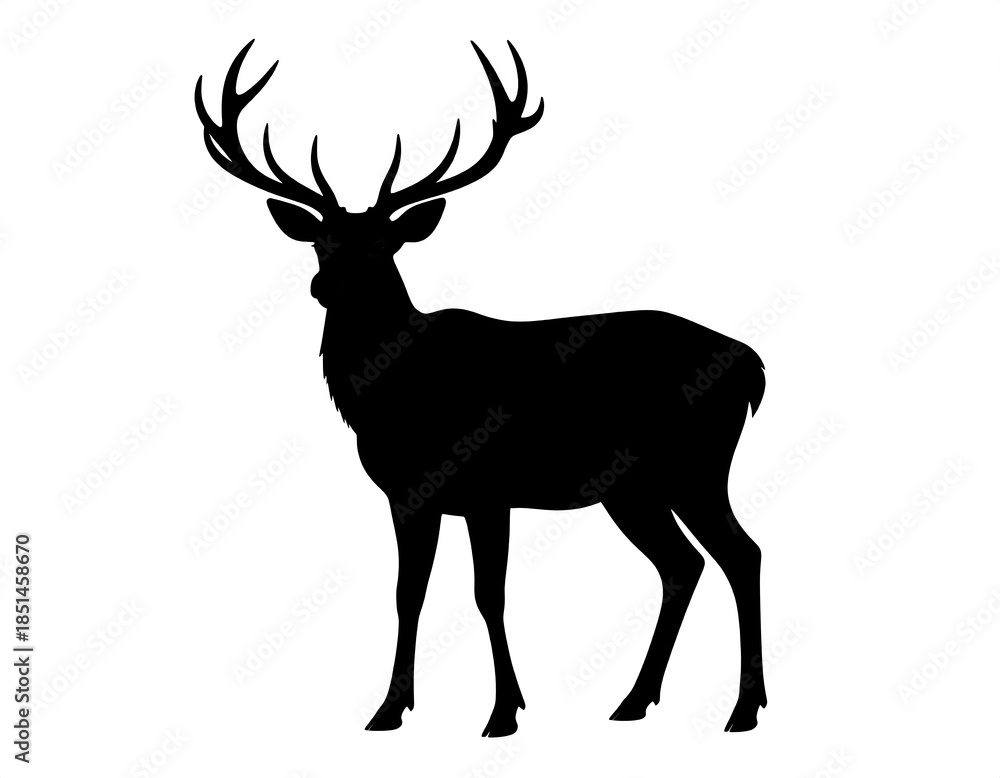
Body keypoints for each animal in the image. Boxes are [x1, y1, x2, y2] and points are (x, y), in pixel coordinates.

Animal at [195, 39, 768, 736]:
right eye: (321, 243)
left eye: (385, 245)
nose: (325, 287)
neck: (393, 398)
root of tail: (752, 365)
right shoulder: (409, 496)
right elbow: (408, 594)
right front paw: (389, 709)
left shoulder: (489, 487)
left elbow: (487, 594)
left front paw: (503, 713)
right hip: (632, 489)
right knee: (682, 565)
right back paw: (634, 702)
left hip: (695, 465)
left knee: (741, 554)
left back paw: (743, 709)